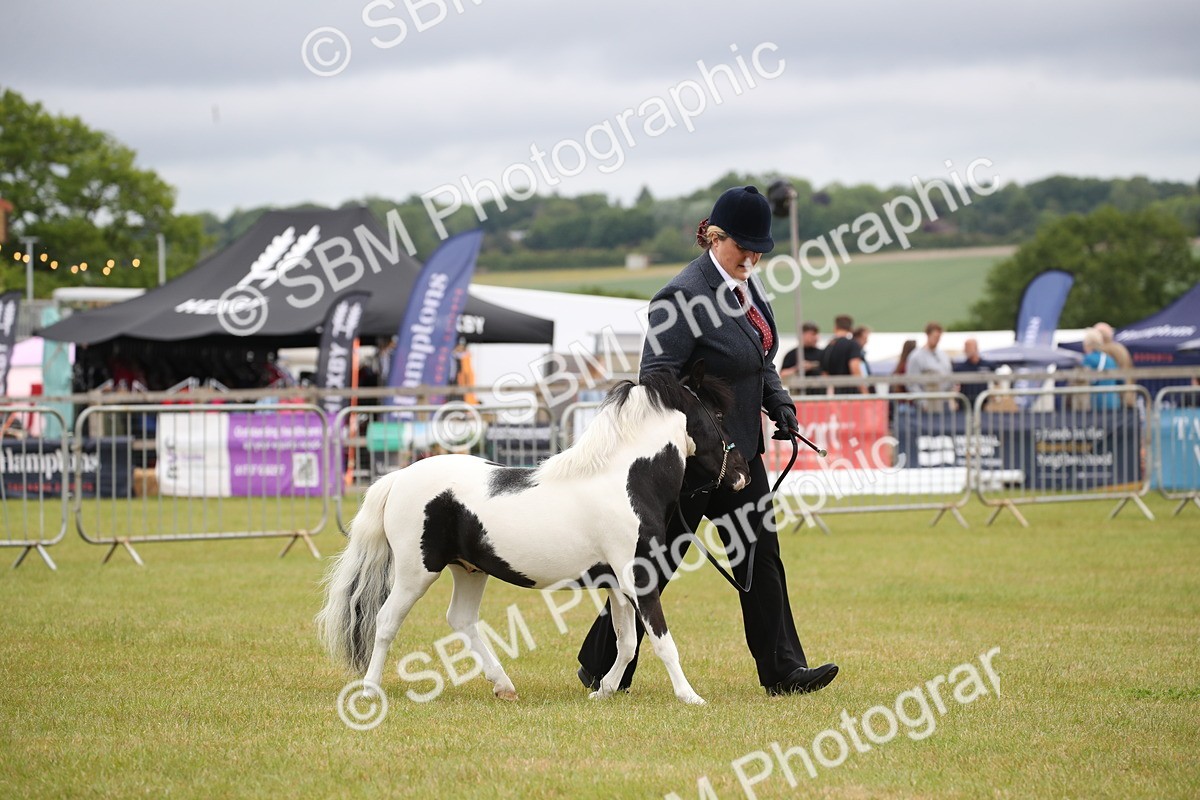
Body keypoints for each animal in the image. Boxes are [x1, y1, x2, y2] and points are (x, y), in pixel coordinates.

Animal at [316, 361, 749, 705]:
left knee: (461, 620)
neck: (626, 481)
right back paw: (370, 690)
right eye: (716, 414)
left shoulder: (618, 583)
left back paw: (504, 686)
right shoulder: (638, 578)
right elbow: (662, 641)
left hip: (469, 569)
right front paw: (690, 697)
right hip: (415, 572)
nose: (743, 473)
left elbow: (626, 644)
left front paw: (603, 691)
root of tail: (397, 478)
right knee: (387, 621)